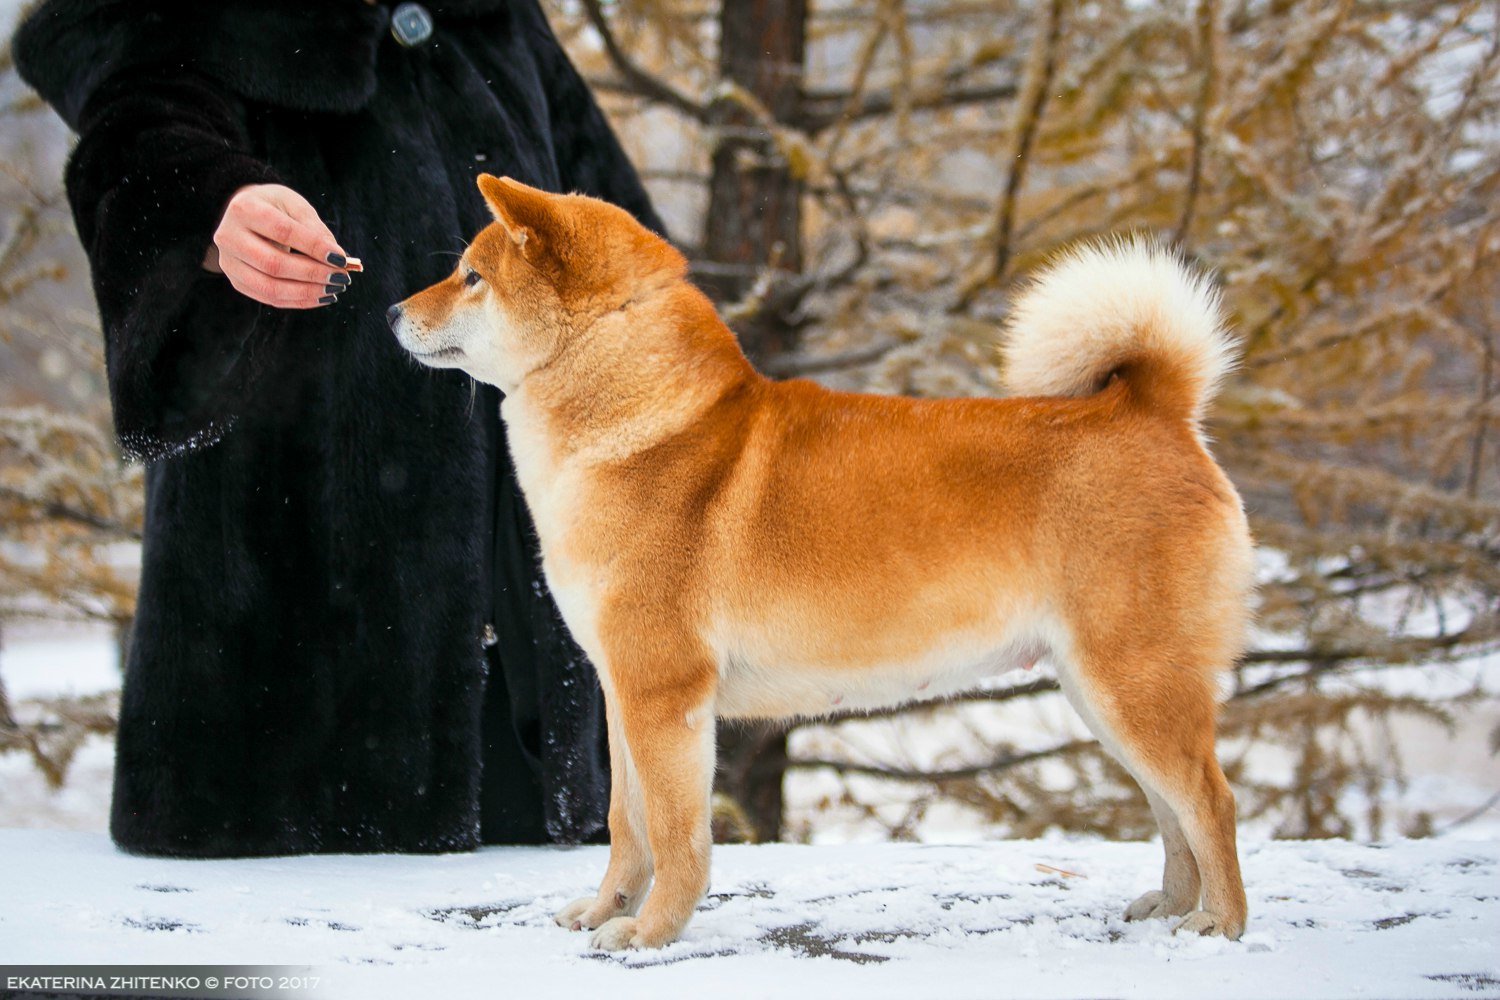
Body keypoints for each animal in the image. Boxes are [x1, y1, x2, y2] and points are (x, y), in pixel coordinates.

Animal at [387, 176, 1254, 953]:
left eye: (471, 275)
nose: (391, 311)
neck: (633, 424)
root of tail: (1153, 408)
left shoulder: (664, 694)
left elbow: (674, 835)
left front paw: (651, 933)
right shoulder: (622, 692)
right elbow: (625, 825)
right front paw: (606, 912)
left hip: (1133, 683)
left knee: (1210, 801)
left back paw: (1219, 923)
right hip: (1104, 694)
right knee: (1171, 811)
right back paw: (1171, 907)